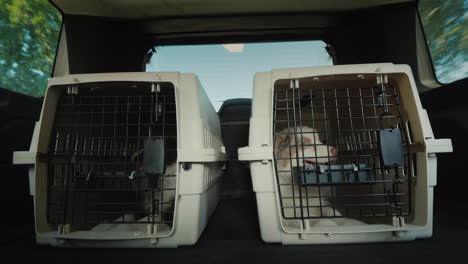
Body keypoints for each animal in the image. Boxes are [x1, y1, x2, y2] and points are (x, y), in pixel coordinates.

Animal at [239, 63, 452, 244]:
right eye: (307, 144)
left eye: (321, 140)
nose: (334, 149)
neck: (301, 191)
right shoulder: (292, 218)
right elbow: (324, 222)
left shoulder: (322, 205)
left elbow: (338, 216)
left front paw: (356, 223)